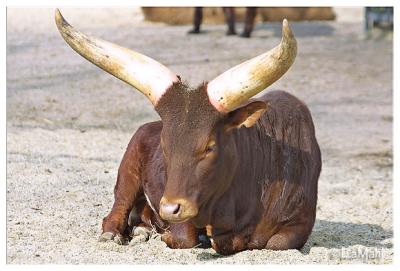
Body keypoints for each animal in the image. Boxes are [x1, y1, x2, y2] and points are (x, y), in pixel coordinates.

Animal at [55, 7, 322, 255]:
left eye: (210, 147)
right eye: (164, 146)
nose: (170, 209)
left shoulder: (299, 224)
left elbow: (278, 243)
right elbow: (185, 237)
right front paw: (172, 234)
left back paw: (143, 228)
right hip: (128, 170)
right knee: (118, 206)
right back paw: (115, 233)